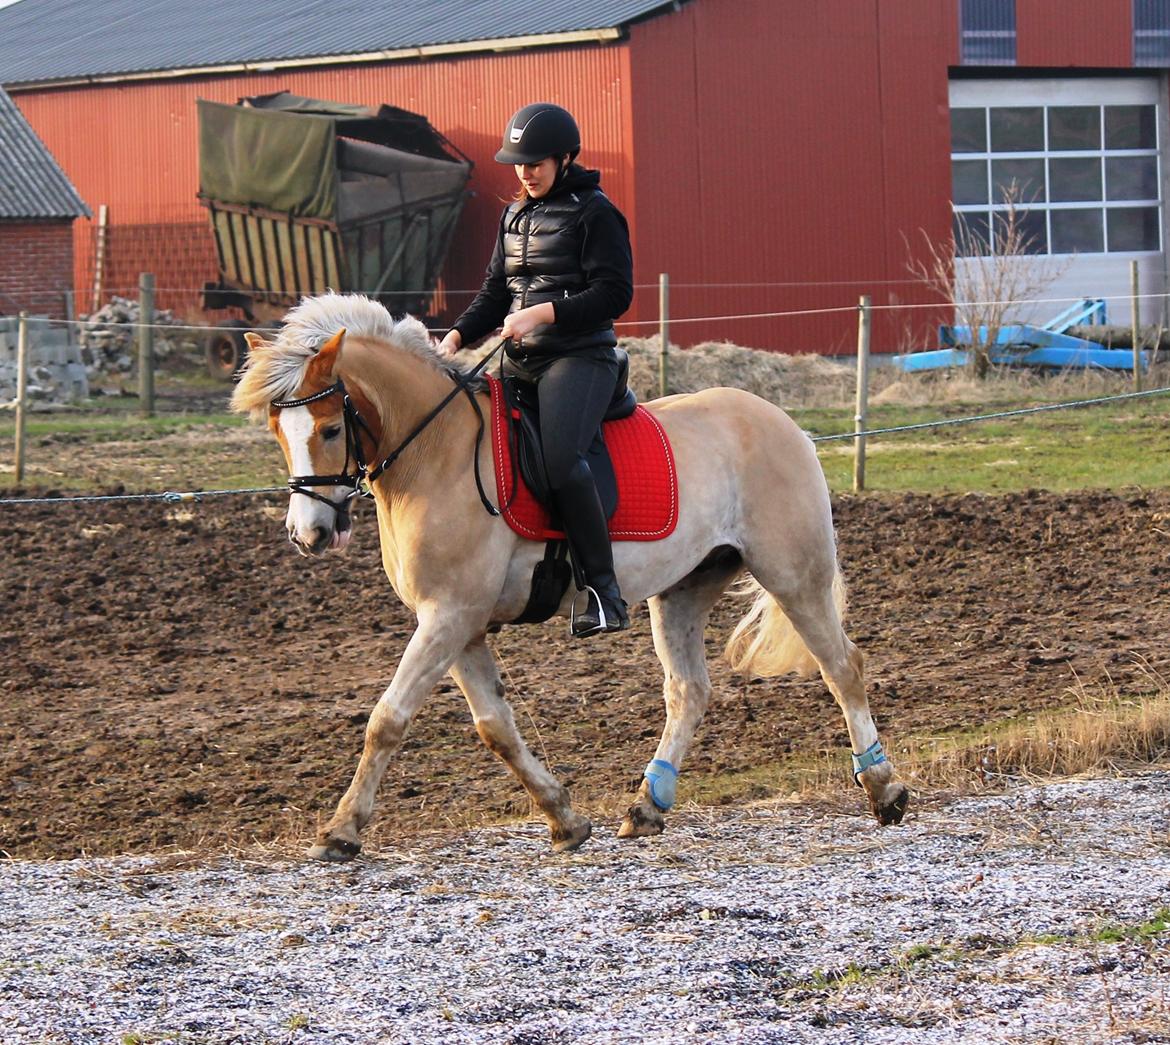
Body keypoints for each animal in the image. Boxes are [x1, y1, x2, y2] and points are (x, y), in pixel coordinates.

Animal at [232, 291, 907, 856]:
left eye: (330, 428)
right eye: (277, 430)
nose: (310, 534)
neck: (435, 452)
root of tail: (783, 422)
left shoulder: (448, 617)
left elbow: (387, 720)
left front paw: (342, 830)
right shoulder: (458, 624)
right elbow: (495, 728)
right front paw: (564, 819)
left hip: (793, 573)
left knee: (842, 666)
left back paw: (884, 789)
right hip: (683, 591)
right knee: (689, 691)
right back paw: (648, 806)